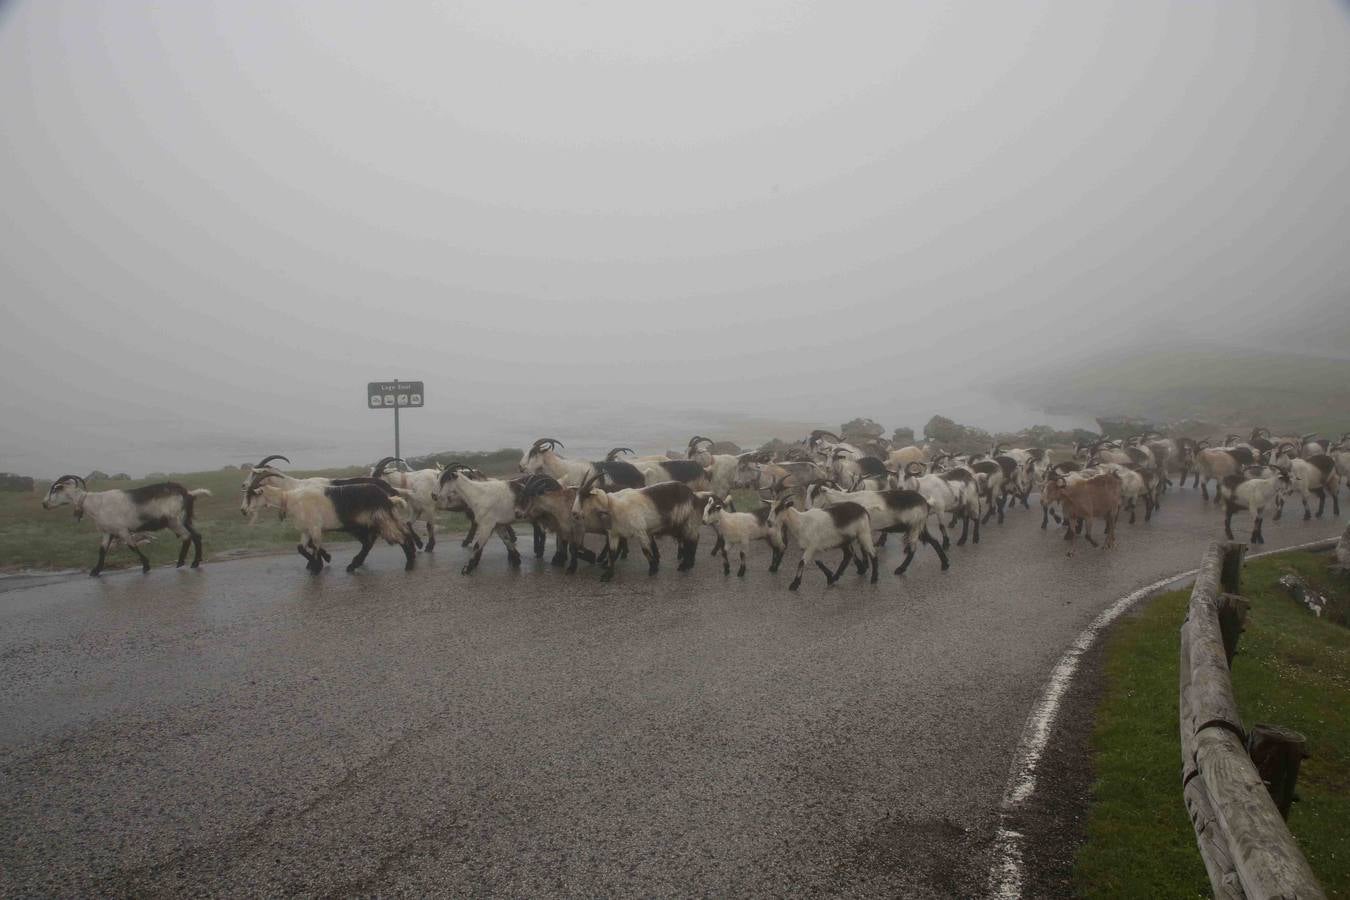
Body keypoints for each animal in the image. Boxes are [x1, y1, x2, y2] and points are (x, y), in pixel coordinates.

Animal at [43, 474, 210, 574]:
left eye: (55, 490)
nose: (44, 504)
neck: (95, 503)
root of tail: (188, 493)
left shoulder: (121, 530)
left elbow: (132, 546)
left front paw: (146, 566)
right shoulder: (107, 531)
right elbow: (102, 550)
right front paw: (96, 571)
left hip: (174, 521)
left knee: (187, 537)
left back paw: (181, 562)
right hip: (184, 519)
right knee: (197, 536)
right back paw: (195, 562)